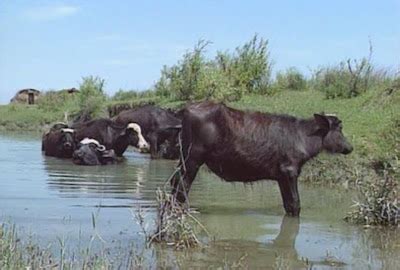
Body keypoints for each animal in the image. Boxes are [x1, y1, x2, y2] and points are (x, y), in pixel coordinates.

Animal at [172, 102, 354, 217]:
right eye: (340, 128)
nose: (350, 147)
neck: (302, 137)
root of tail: (185, 110)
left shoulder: (281, 177)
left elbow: (288, 205)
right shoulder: (290, 171)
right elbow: (296, 204)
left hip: (184, 160)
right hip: (192, 160)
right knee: (182, 187)